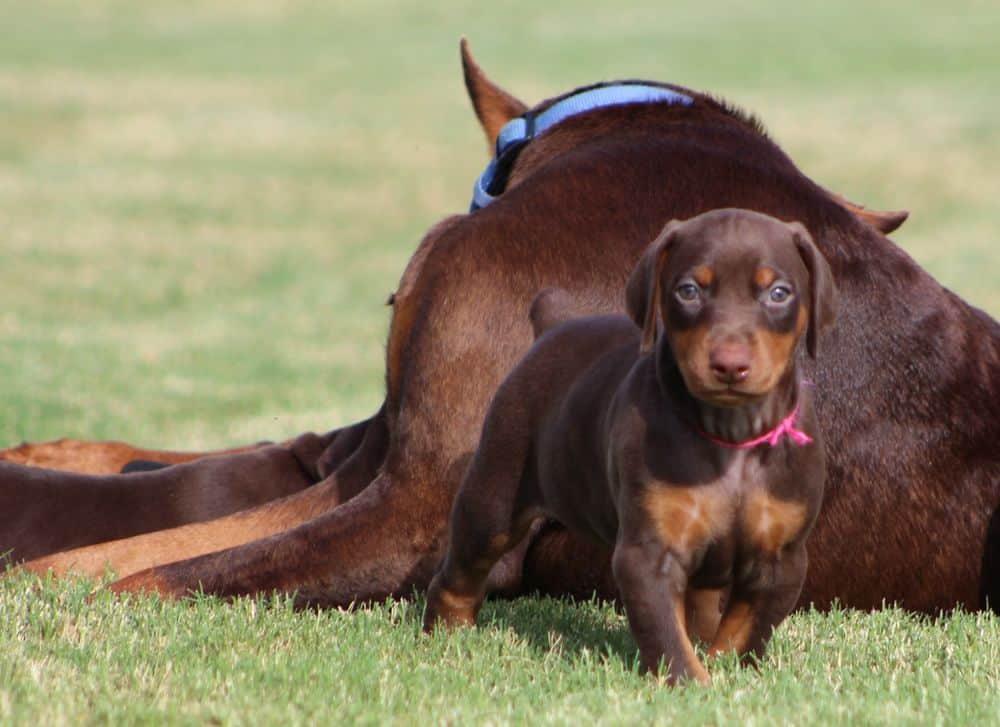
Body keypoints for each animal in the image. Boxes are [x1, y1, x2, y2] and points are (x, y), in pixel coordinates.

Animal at [422, 208, 836, 684]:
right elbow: (667, 636)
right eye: (689, 290)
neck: (731, 435)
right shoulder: (647, 553)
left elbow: (743, 632)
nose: (729, 365)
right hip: (495, 494)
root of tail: (555, 326)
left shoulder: (781, 559)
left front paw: (726, 673)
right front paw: (693, 684)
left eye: (779, 293)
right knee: (461, 567)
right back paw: (446, 633)